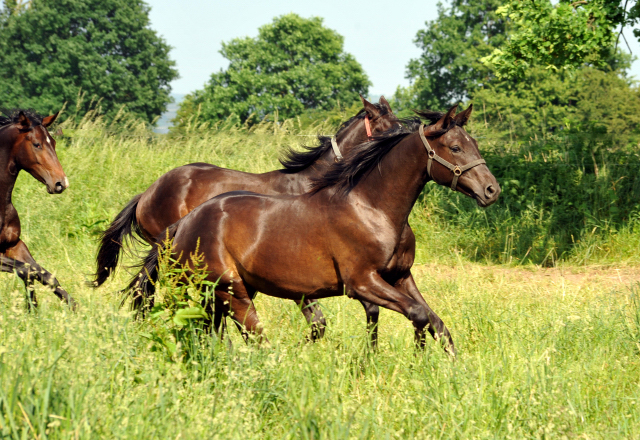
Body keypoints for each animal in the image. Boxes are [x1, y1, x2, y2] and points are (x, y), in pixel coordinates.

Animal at [0, 110, 74, 310]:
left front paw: (74, 306)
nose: (61, 183)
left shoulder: (15, 245)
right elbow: (26, 270)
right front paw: (31, 308)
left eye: (54, 143)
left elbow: (44, 274)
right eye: (36, 144)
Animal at [127, 104, 502, 354]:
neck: (371, 207)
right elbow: (415, 314)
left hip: (222, 292)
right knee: (246, 337)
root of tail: (181, 224)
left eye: (474, 143)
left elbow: (434, 321)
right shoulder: (360, 282)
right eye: (455, 147)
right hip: (230, 290)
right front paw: (409, 359)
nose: (491, 190)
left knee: (210, 329)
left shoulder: (400, 276)